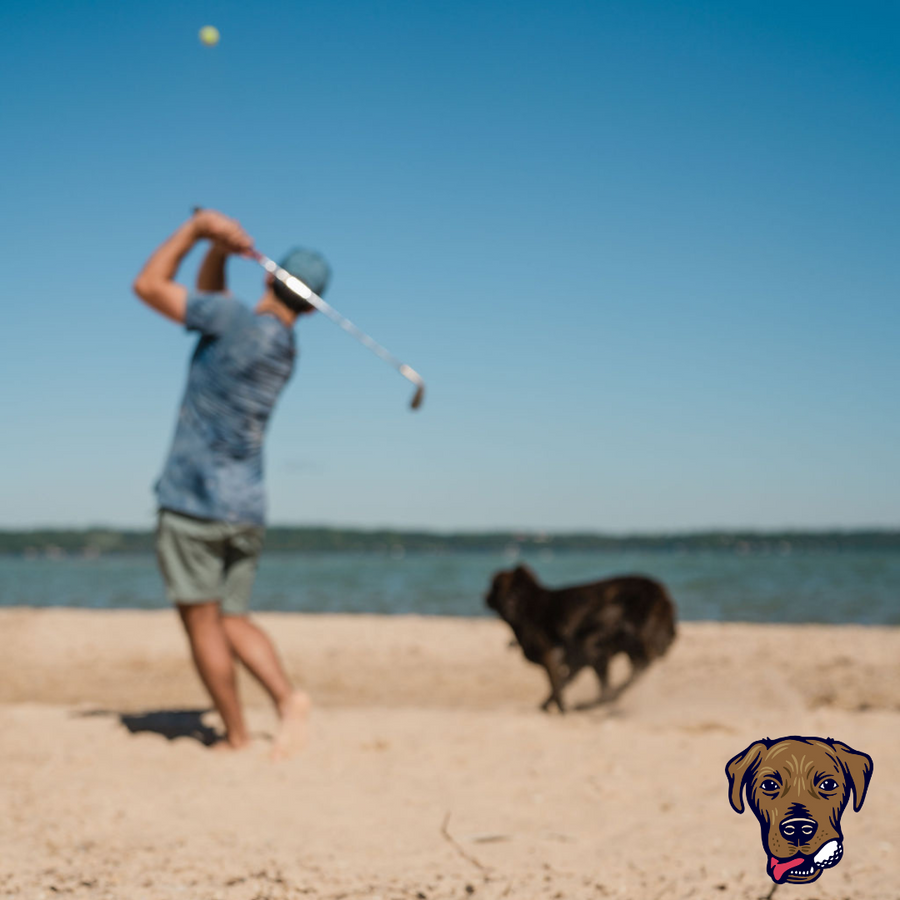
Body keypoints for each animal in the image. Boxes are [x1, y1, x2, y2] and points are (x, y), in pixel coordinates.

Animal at [486, 568, 676, 712]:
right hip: (621, 650)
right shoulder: (574, 661)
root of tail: (664, 600)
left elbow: (557, 686)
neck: (527, 606)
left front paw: (559, 709)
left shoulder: (555, 656)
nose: (485, 596)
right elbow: (561, 683)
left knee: (610, 690)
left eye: (495, 587)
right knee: (622, 682)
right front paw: (548, 706)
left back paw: (586, 705)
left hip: (599, 645)